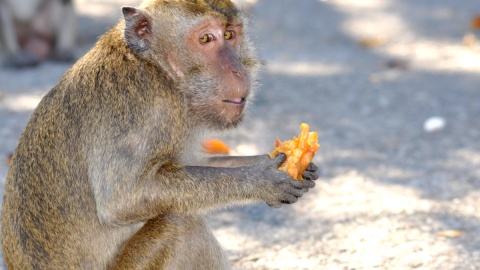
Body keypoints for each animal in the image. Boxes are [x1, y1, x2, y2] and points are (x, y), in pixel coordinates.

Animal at [2, 0, 318, 268]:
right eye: (206, 39)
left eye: (229, 34)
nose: (239, 71)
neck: (155, 66)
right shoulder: (145, 108)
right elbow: (123, 199)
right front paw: (262, 180)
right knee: (183, 225)